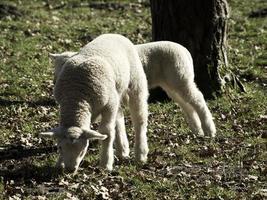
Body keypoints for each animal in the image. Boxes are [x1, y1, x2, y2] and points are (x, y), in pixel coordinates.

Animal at [42, 33, 151, 173]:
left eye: (83, 149)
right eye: (59, 148)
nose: (70, 169)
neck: (77, 97)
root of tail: (115, 34)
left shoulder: (109, 105)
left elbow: (107, 132)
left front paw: (106, 164)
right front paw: (59, 163)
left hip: (135, 84)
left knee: (139, 119)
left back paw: (140, 154)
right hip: (116, 92)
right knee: (119, 116)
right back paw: (123, 150)